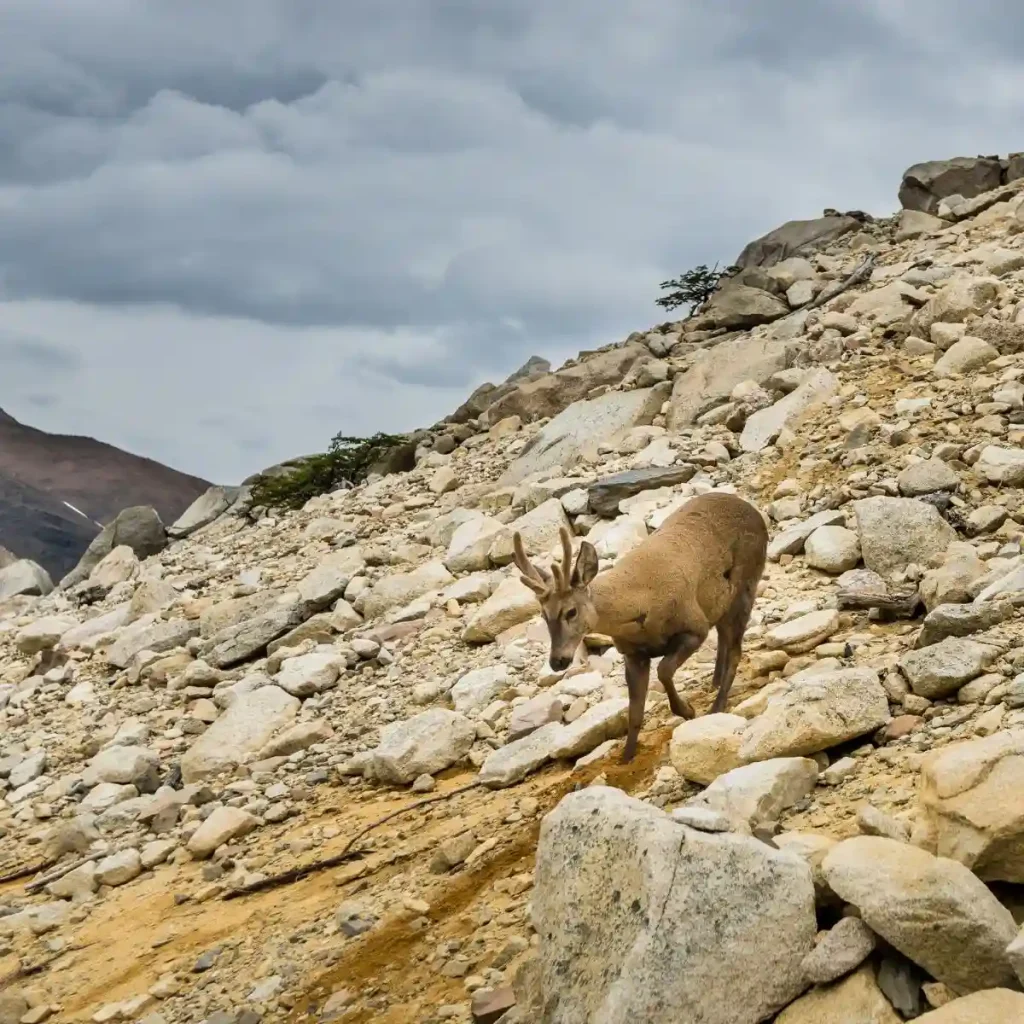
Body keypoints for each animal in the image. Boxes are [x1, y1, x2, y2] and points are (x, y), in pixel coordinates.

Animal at [512, 490, 768, 763]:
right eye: (544, 615)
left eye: (571, 611)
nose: (557, 661)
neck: (639, 606)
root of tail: (752, 510)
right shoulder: (633, 654)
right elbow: (634, 712)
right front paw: (626, 759)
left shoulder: (694, 626)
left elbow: (664, 670)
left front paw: (687, 710)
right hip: (720, 604)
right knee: (724, 637)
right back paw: (715, 683)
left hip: (745, 584)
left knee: (735, 650)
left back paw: (717, 706)